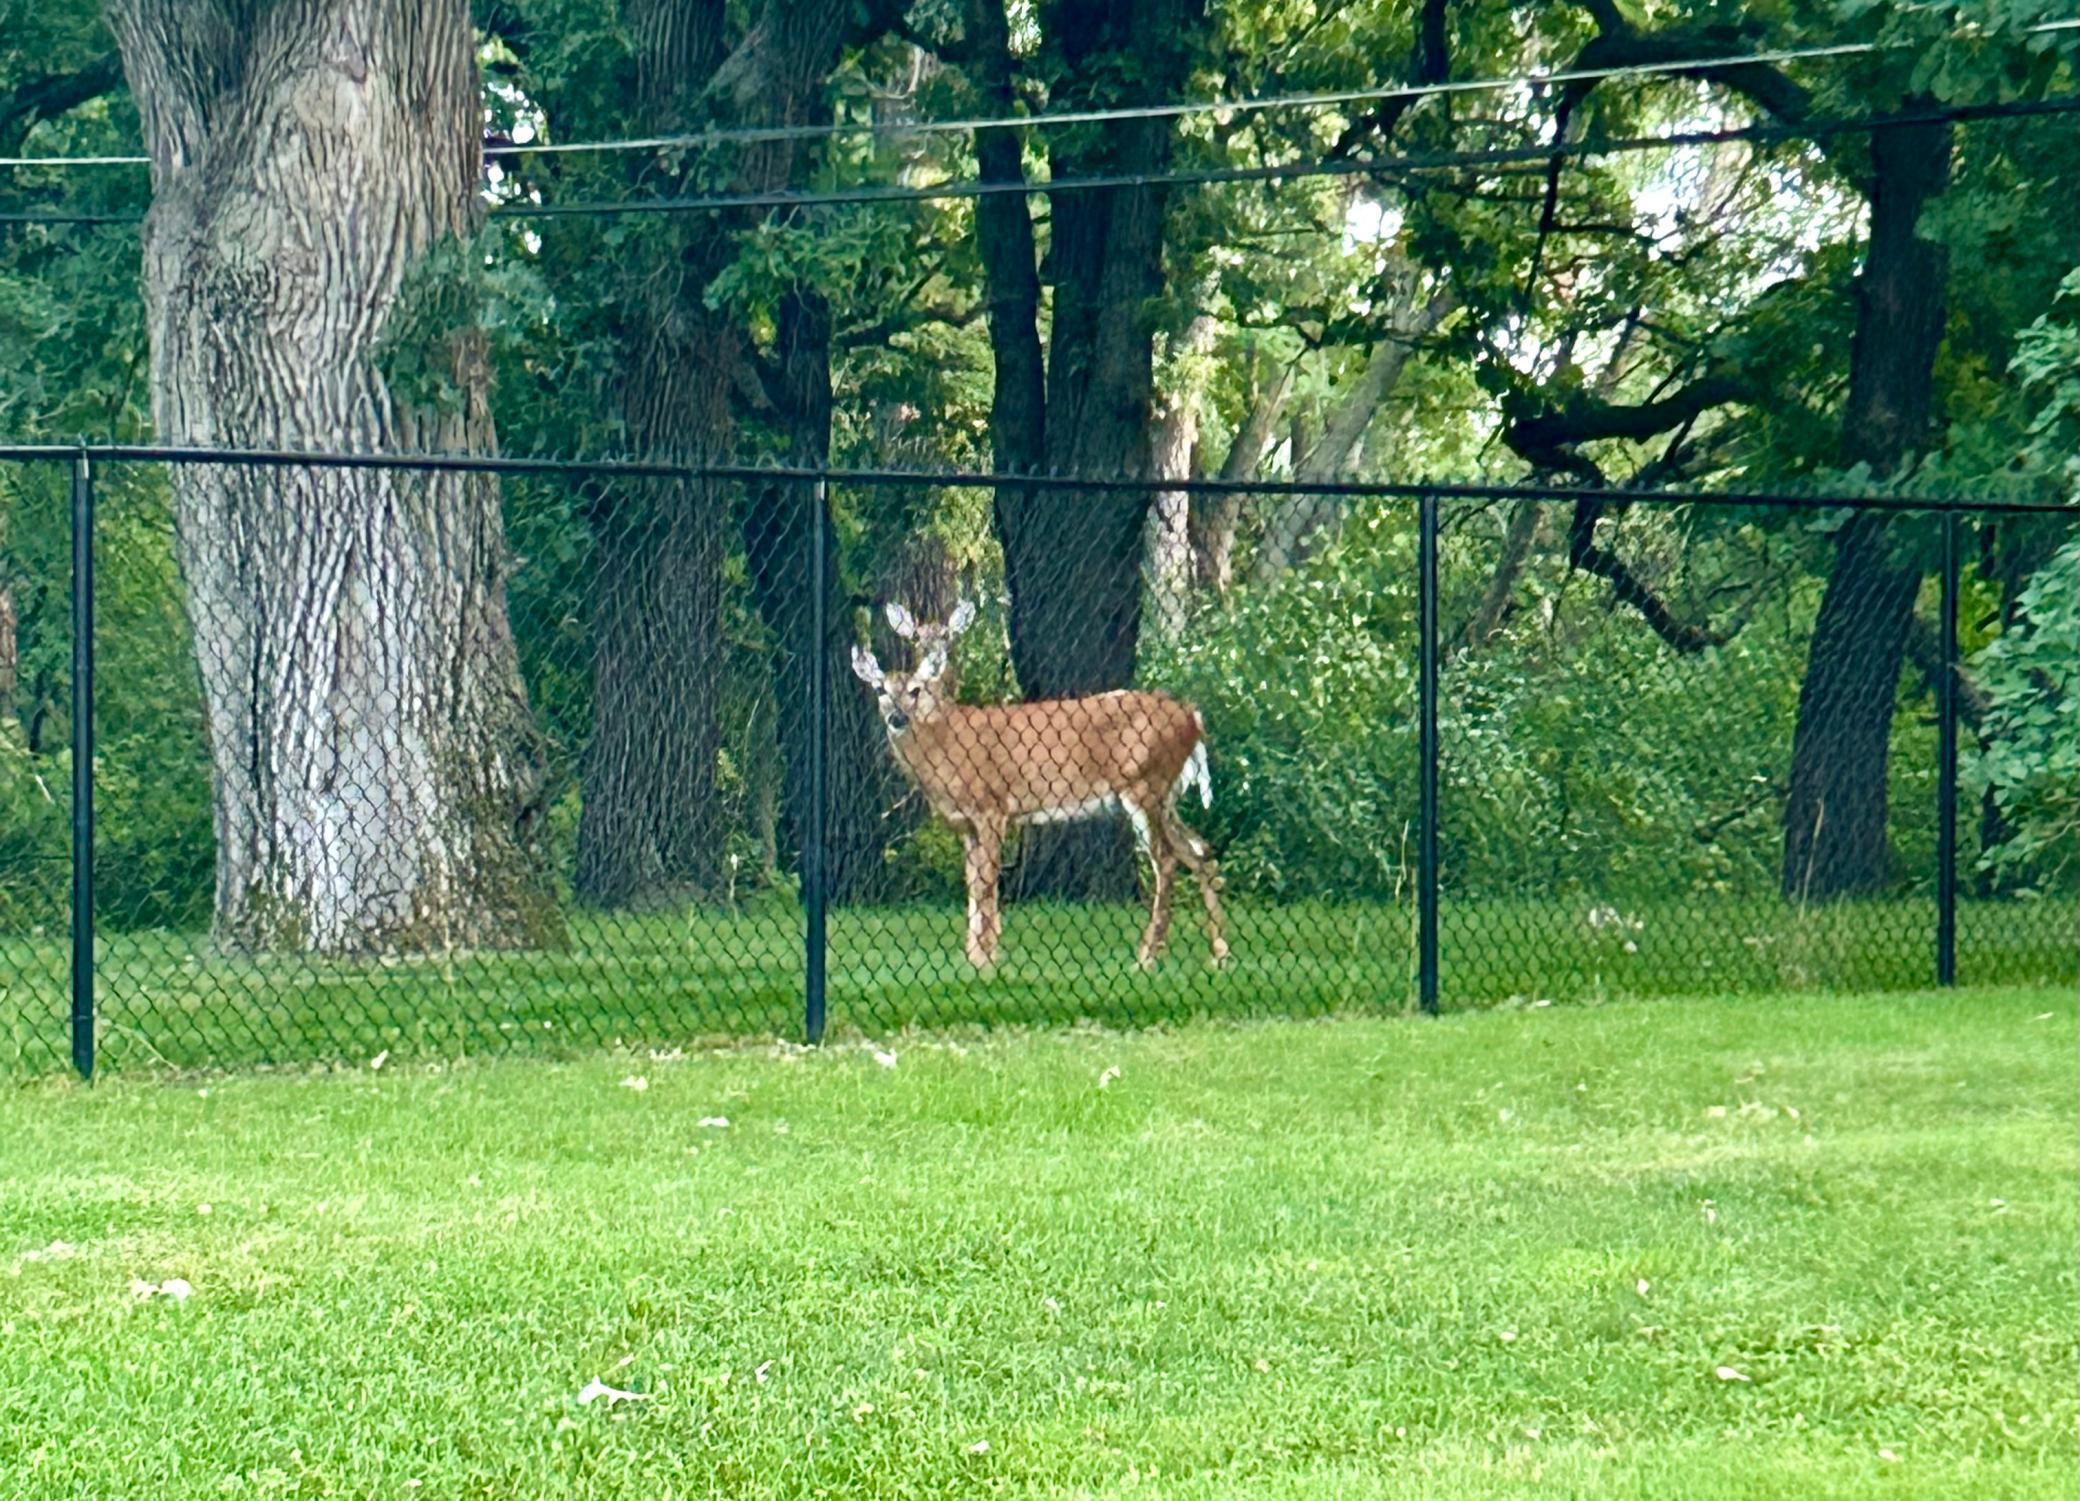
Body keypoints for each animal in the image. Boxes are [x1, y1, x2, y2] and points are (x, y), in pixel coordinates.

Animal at [851, 599, 1230, 972]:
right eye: (880, 689)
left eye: (915, 691)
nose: (897, 718)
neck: (945, 739)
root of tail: (1193, 717)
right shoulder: (964, 824)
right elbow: (972, 883)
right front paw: (974, 956)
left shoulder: (992, 806)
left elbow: (987, 881)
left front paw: (986, 959)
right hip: (1166, 796)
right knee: (1199, 850)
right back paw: (1218, 954)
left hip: (1144, 784)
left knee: (1166, 860)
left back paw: (1147, 957)